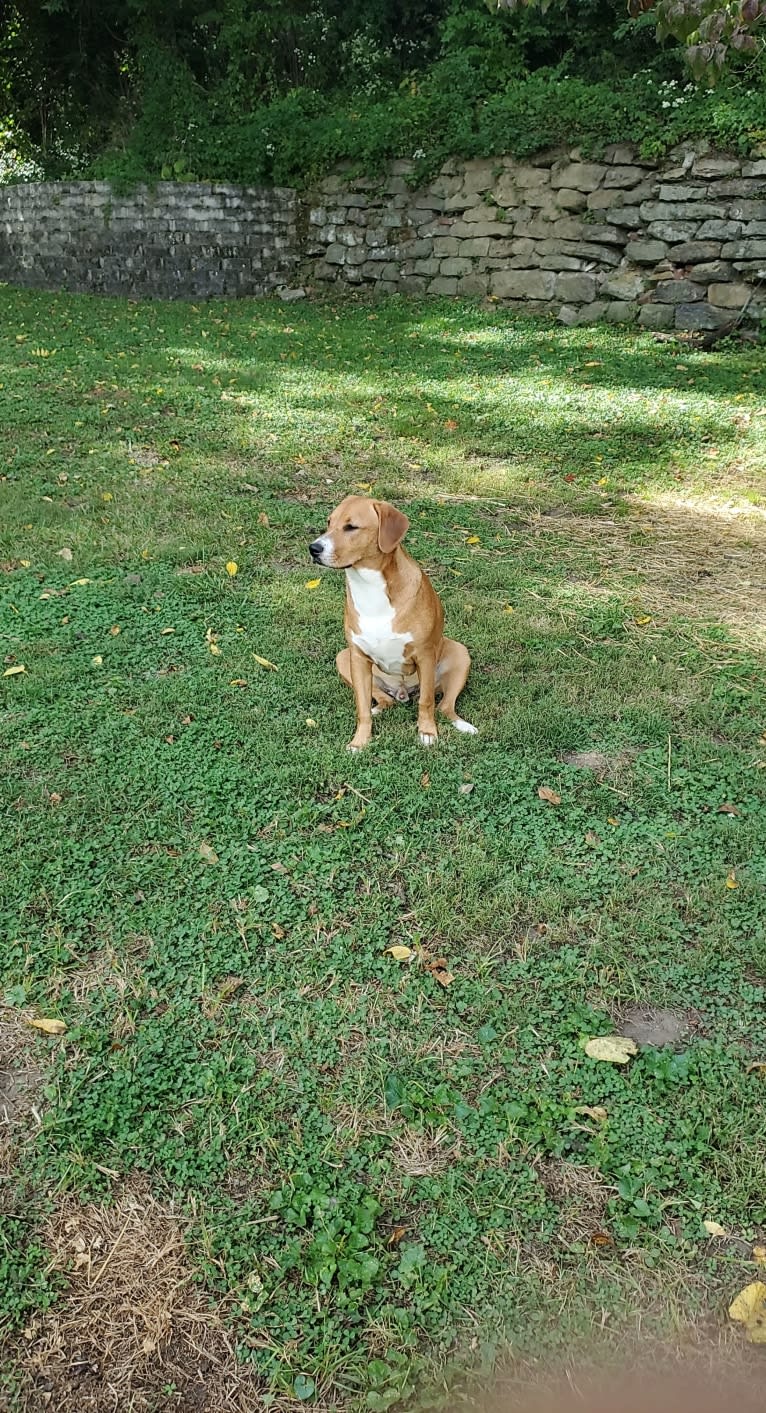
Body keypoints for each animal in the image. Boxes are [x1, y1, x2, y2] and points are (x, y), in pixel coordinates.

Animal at [309, 497, 477, 751]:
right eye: (329, 522)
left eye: (351, 527)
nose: (314, 548)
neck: (370, 588)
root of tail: (402, 691)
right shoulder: (358, 658)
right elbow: (361, 708)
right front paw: (360, 741)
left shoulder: (425, 655)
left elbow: (427, 701)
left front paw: (427, 732)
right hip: (344, 658)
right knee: (383, 699)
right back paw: (378, 708)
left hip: (459, 653)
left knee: (444, 706)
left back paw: (464, 726)